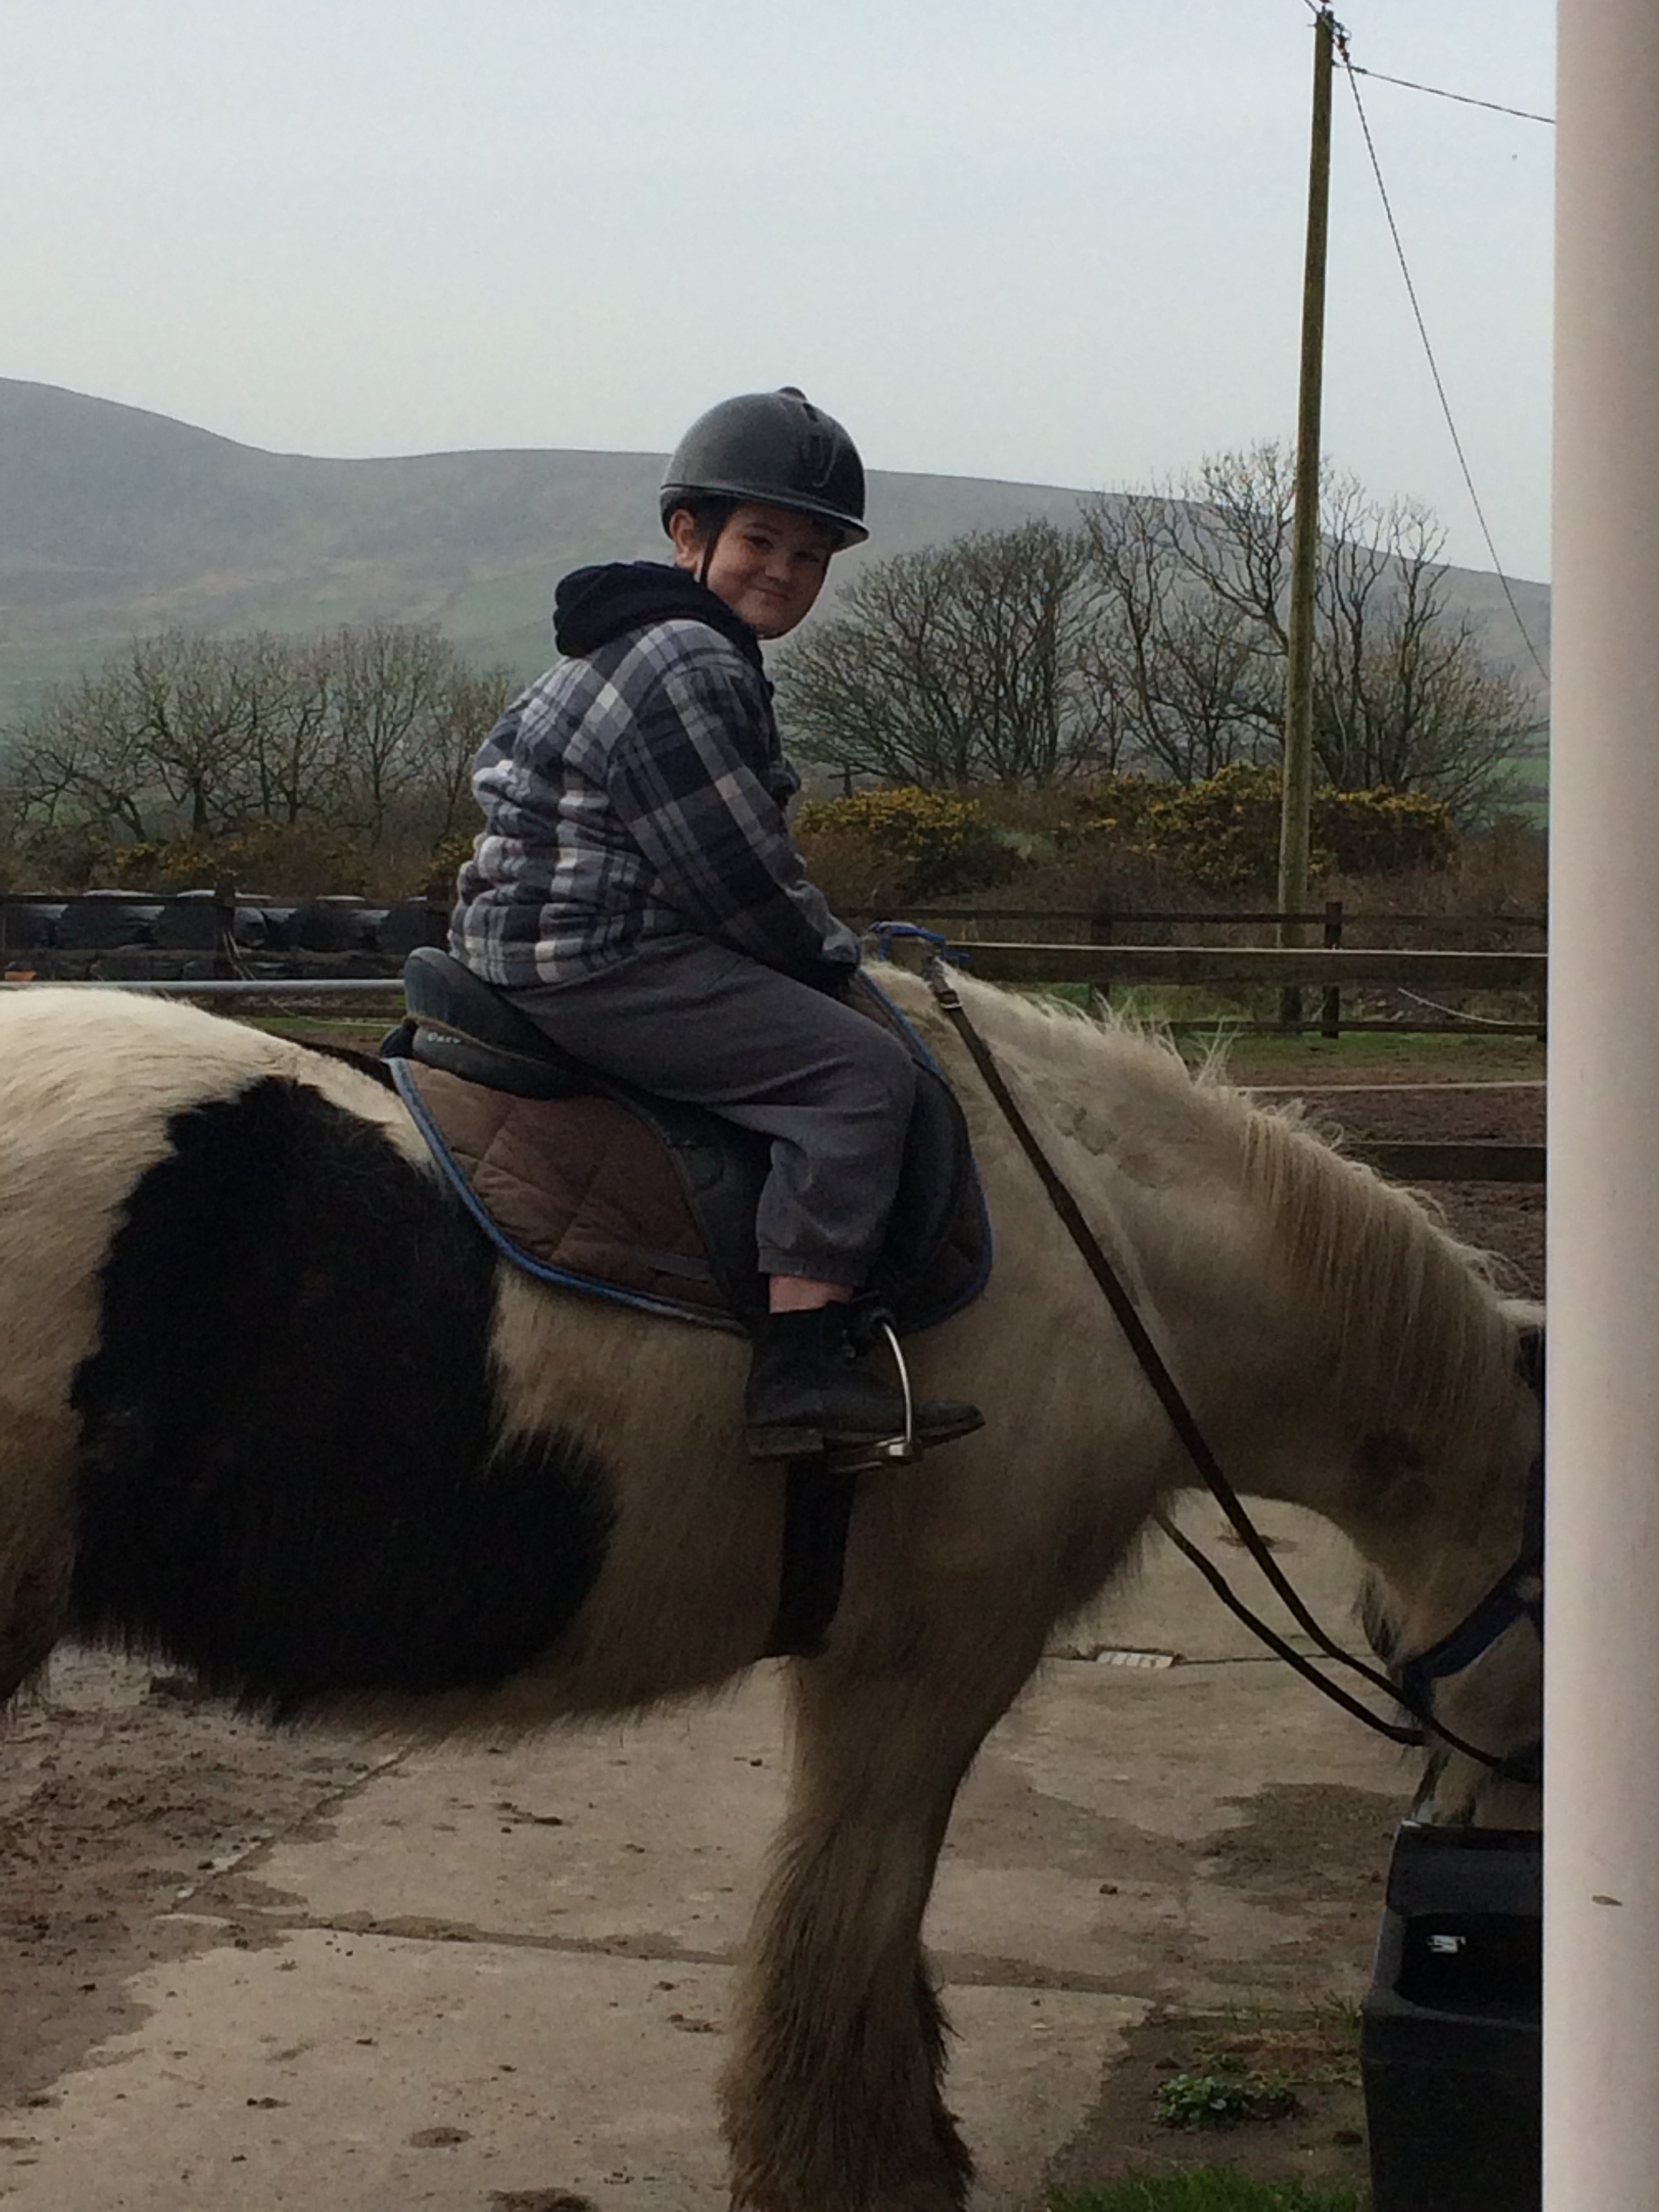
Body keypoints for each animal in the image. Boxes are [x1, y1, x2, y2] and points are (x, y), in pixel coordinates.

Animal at [0, 972, 1543, 2212]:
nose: (1496, 1851)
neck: (1118, 1259)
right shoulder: (924, 1667)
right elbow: (849, 1917)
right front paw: (864, 2175)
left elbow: (866, 1932)